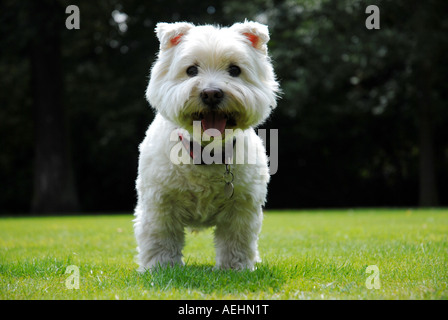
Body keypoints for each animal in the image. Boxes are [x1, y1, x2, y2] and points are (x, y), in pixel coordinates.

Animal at [134, 20, 280, 270]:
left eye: (235, 70)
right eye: (191, 70)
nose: (211, 94)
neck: (206, 152)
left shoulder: (242, 205)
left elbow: (236, 241)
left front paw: (236, 269)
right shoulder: (159, 203)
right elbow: (160, 237)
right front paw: (161, 268)